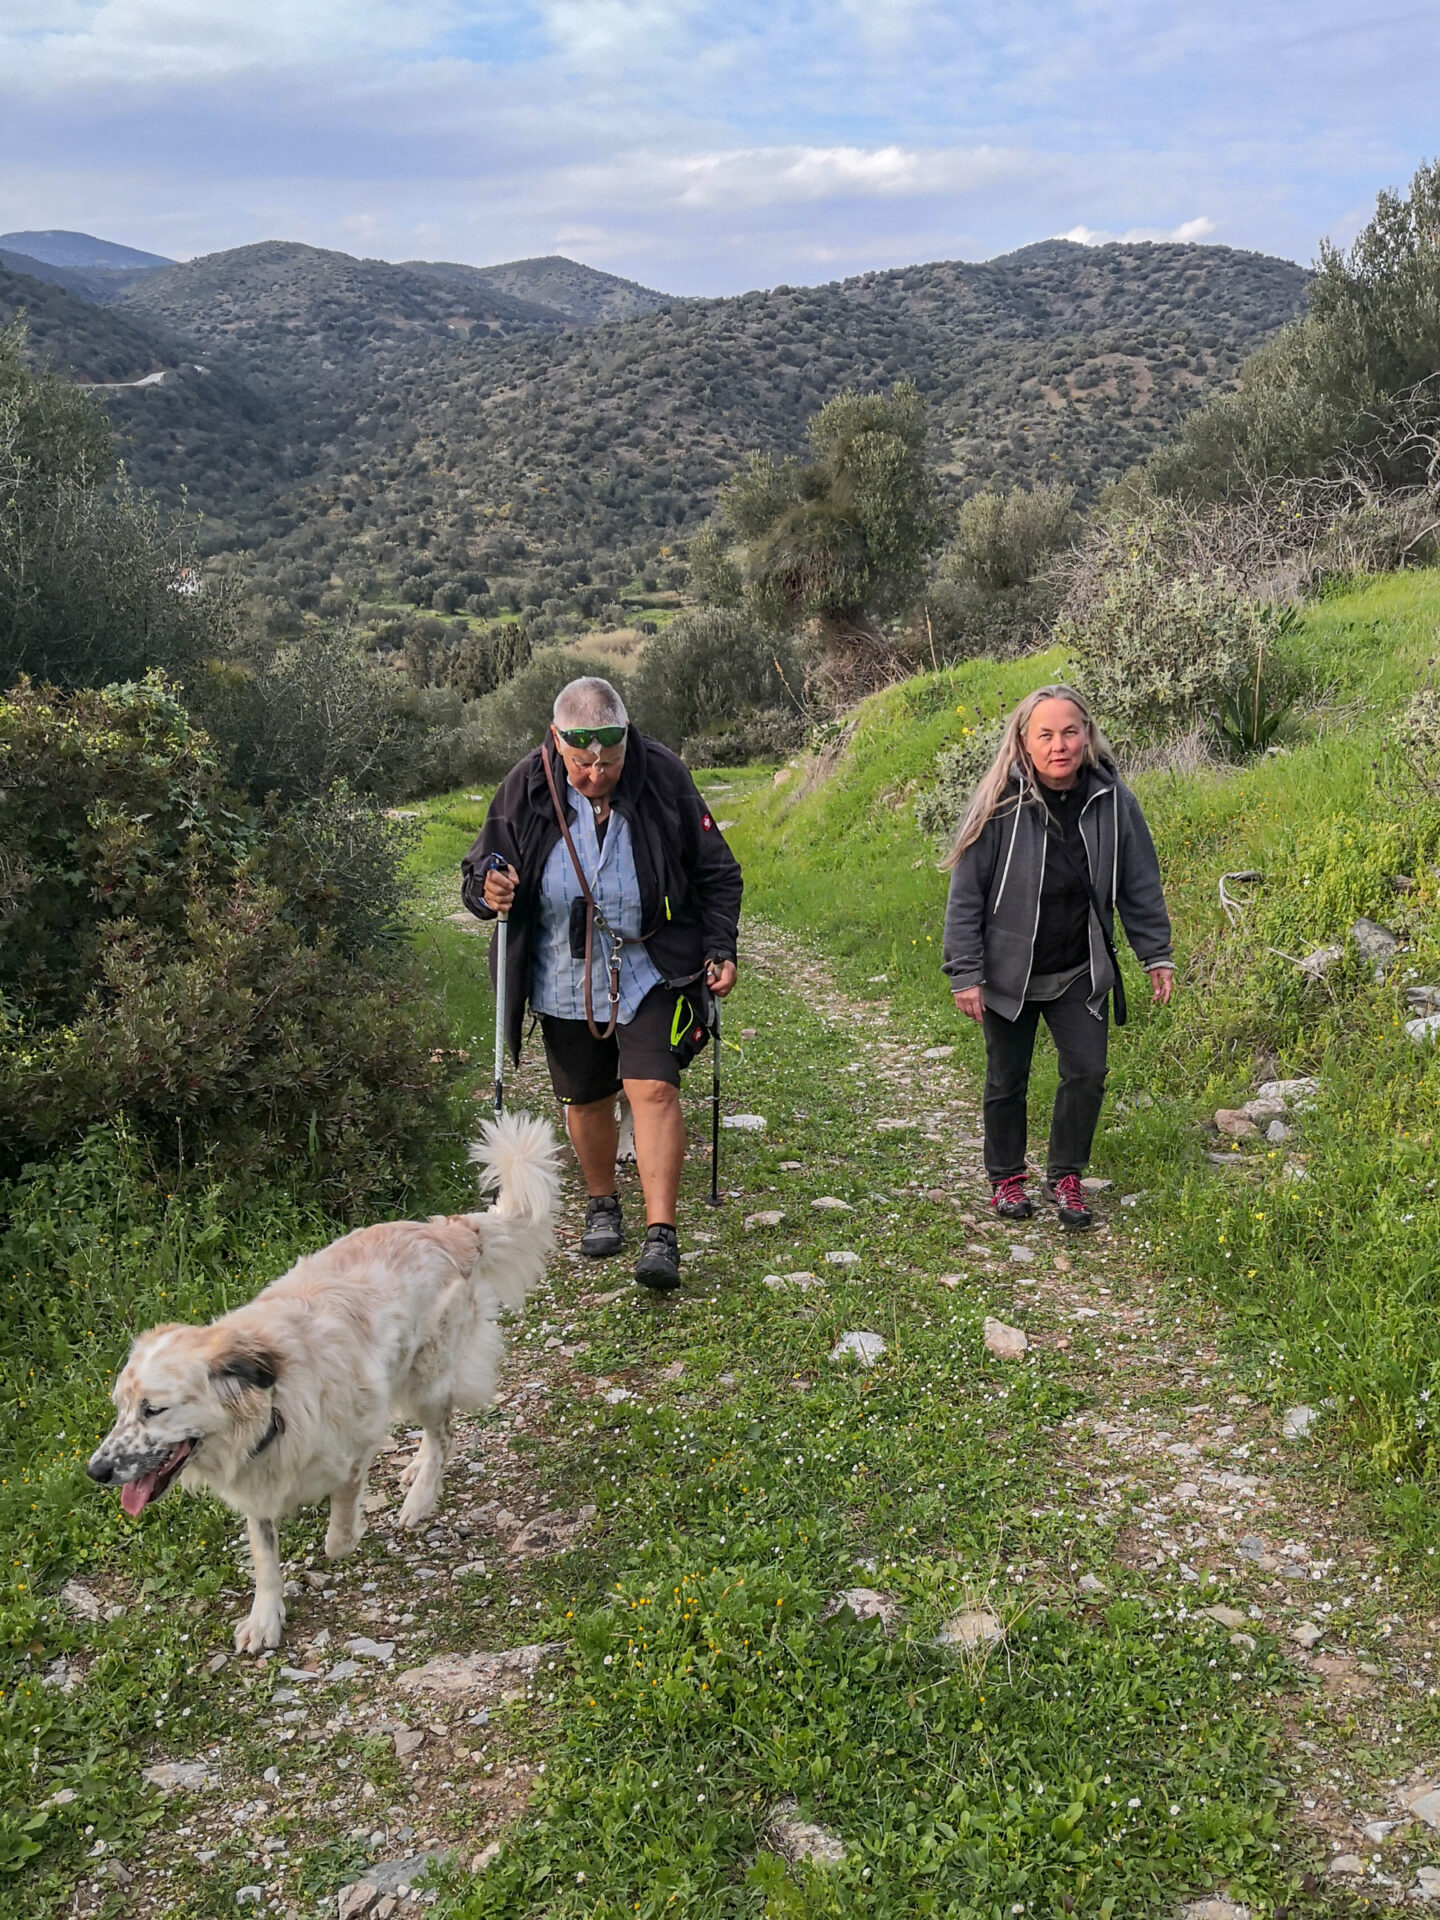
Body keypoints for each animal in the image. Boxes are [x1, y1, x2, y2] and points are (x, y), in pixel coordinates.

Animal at [86, 1112, 560, 1652]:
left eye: (153, 1409)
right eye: (121, 1409)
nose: (95, 1471)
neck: (271, 1407)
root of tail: (450, 1230)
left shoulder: (352, 1449)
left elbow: (338, 1530)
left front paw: (345, 1539)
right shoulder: (256, 1488)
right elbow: (265, 1558)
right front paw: (265, 1618)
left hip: (427, 1377)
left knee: (444, 1434)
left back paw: (419, 1500)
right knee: (434, 1435)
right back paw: (416, 1470)